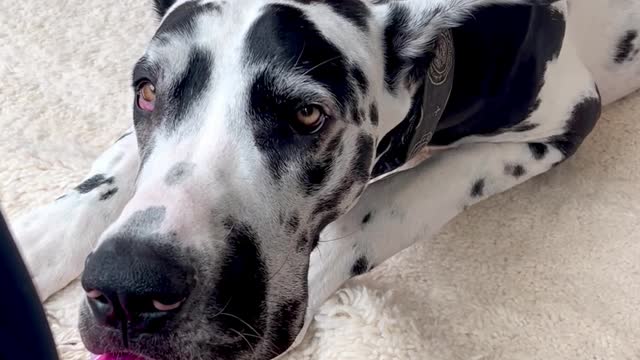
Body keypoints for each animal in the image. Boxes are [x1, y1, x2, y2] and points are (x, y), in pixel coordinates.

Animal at [12, 0, 640, 358]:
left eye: (307, 114)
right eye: (146, 91)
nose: (127, 291)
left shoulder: (564, 123)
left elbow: (381, 208)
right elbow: (114, 171)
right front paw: (31, 246)